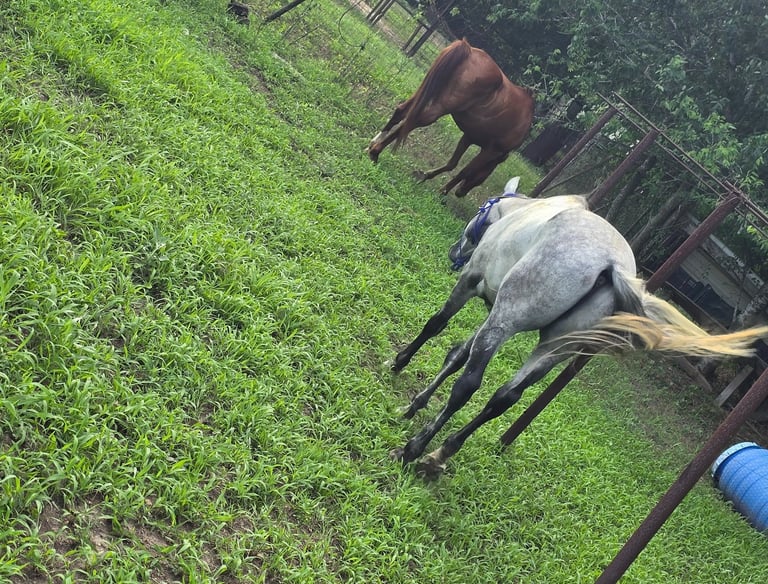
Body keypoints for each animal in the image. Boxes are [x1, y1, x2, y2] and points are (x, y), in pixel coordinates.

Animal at [367, 39, 534, 197]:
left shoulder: (468, 137)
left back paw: (373, 144)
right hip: (440, 107)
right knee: (413, 121)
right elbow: (464, 171)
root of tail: (468, 50)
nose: (461, 193)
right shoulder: (490, 151)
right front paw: (443, 192)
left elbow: (452, 164)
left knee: (402, 112)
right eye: (485, 173)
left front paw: (424, 175)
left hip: (426, 91)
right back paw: (375, 152)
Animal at [390, 181, 768, 480]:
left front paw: (401, 367)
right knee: (505, 397)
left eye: (483, 208)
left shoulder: (474, 284)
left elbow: (439, 328)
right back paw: (442, 453)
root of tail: (611, 265)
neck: (520, 215)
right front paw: (417, 402)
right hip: (551, 347)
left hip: (509, 319)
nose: (455, 250)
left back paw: (414, 449)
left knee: (469, 386)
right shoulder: (495, 317)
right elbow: (458, 354)